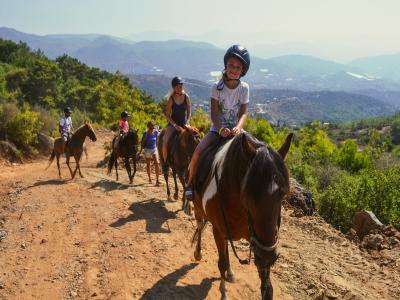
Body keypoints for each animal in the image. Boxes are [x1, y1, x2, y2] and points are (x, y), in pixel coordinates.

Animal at [192, 132, 292, 300]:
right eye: (247, 195)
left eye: (283, 195)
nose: (268, 255)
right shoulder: (218, 230)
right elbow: (221, 263)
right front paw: (223, 293)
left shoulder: (256, 242)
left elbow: (267, 288)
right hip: (198, 208)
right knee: (200, 226)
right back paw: (198, 253)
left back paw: (230, 273)